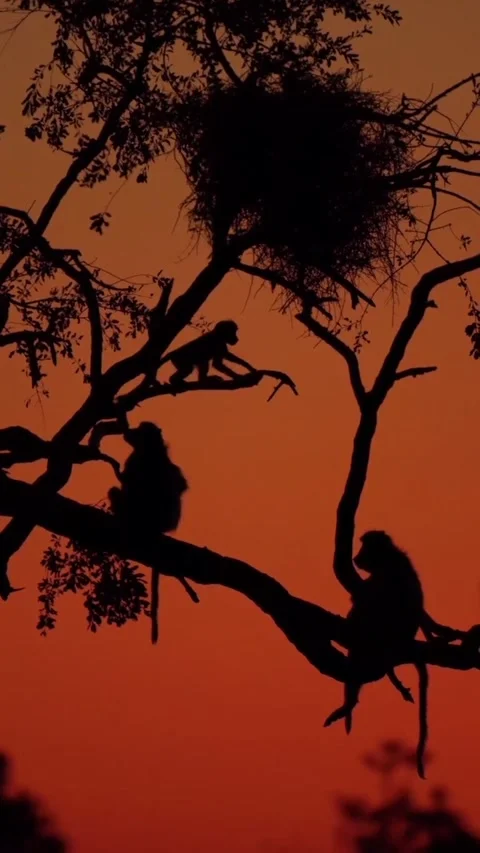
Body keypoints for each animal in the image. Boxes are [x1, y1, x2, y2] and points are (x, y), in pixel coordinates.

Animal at [108, 422, 199, 643]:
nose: (128, 431)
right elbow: (180, 484)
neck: (151, 450)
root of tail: (154, 525)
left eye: (139, 430)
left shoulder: (135, 460)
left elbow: (127, 481)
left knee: (117, 492)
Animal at [323, 531, 429, 779]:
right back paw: (349, 704)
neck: (389, 558)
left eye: (365, 549)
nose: (355, 558)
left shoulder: (386, 575)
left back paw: (349, 704)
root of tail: (404, 640)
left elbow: (368, 601)